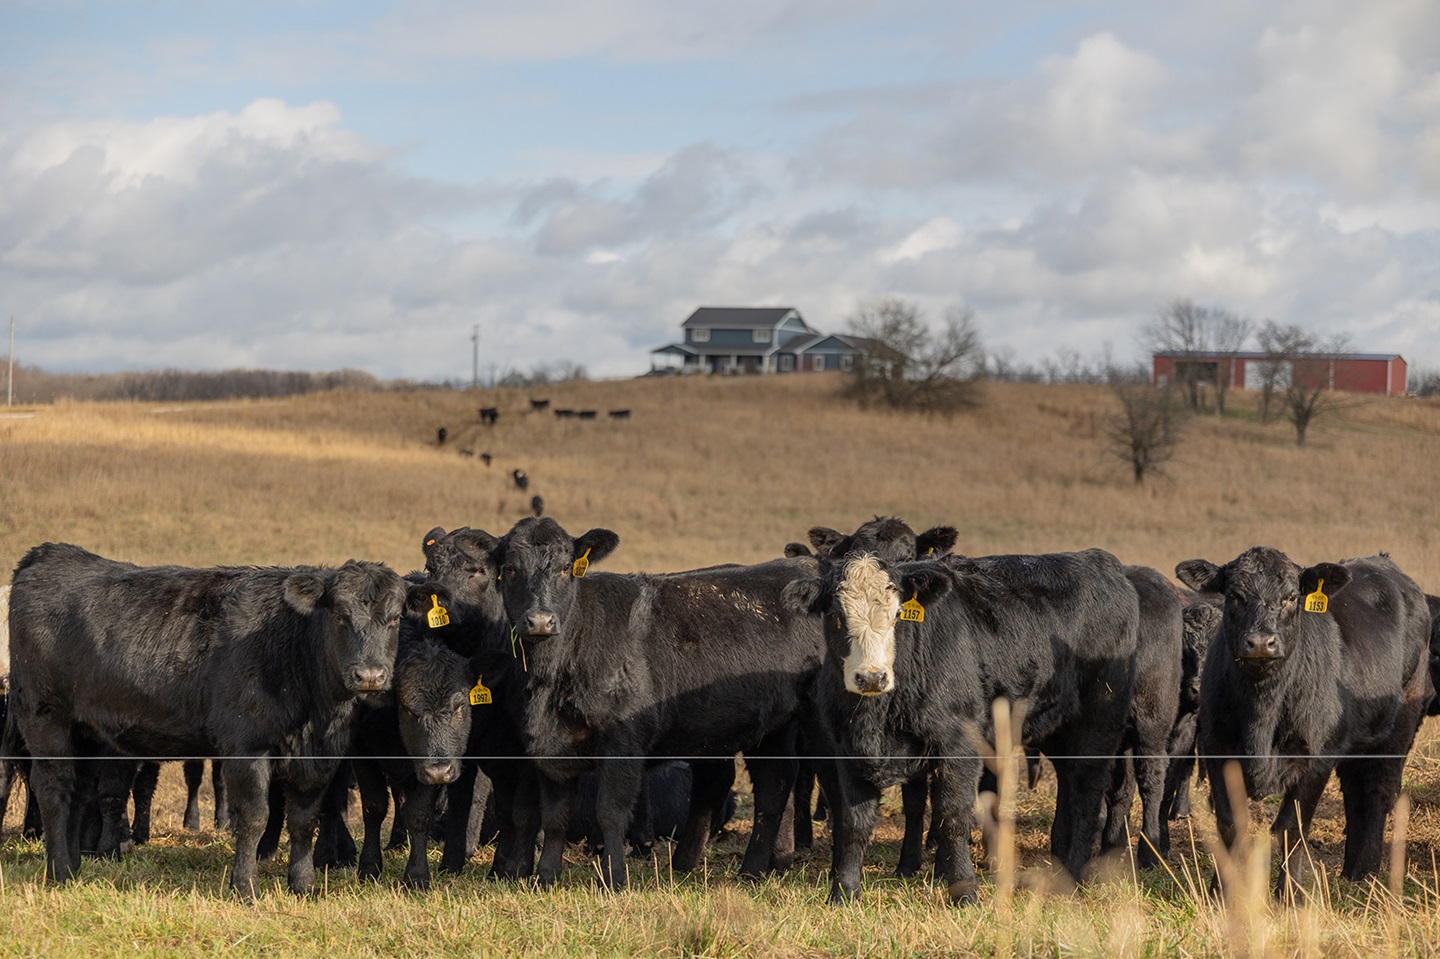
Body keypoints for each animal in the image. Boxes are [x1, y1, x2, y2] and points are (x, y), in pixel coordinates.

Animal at [5, 543, 438, 897]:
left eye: (395, 618)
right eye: (340, 616)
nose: (370, 676)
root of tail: (49, 554)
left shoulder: (317, 758)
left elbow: (303, 819)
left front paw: (303, 885)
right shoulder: (246, 748)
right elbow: (253, 817)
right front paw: (244, 887)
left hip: (88, 732)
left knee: (79, 791)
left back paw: (74, 867)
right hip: (46, 720)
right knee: (54, 790)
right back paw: (59, 872)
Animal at [495, 517, 824, 891]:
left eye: (566, 568)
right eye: (509, 569)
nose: (540, 620)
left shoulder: (622, 742)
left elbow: (610, 812)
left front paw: (614, 878)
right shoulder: (551, 746)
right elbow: (554, 816)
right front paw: (547, 876)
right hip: (773, 725)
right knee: (774, 784)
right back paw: (752, 870)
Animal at [784, 545, 1139, 904]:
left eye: (898, 614)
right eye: (836, 616)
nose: (871, 677)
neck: (879, 716)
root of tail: (1098, 559)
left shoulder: (960, 744)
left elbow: (953, 816)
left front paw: (964, 889)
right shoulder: (848, 748)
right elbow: (854, 822)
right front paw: (844, 890)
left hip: (1097, 722)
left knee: (1086, 791)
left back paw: (1074, 874)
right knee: (1069, 782)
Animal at [1176, 547, 1431, 897]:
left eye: (1291, 597)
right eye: (1234, 596)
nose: (1260, 642)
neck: (1263, 709)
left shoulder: (1315, 759)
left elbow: (1291, 828)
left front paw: (1289, 895)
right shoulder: (1218, 750)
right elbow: (1230, 824)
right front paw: (1222, 892)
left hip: (1397, 729)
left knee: (1377, 790)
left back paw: (1366, 872)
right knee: (1355, 794)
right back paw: (1350, 872)